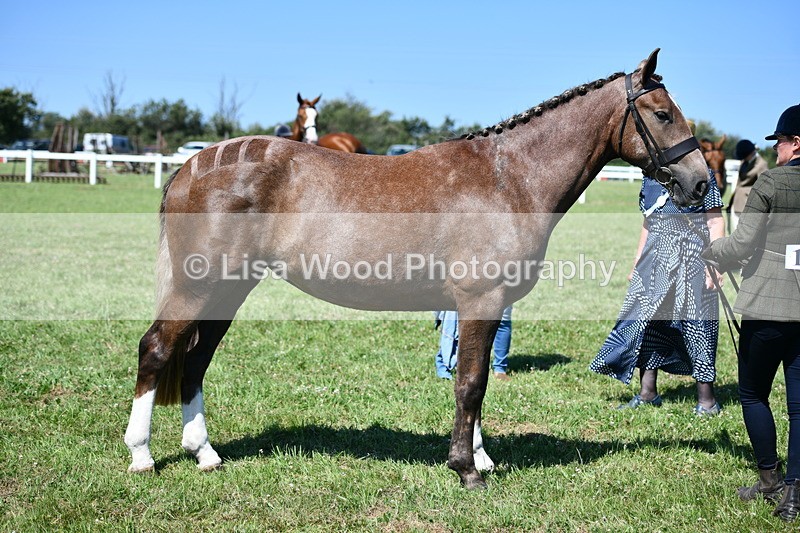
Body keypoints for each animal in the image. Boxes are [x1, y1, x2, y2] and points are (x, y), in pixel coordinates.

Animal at [124, 49, 709, 490]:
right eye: (662, 114)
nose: (701, 182)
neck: (509, 178)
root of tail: (191, 166)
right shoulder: (480, 300)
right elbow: (470, 382)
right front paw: (466, 469)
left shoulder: (481, 307)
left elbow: (472, 380)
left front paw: (480, 456)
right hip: (200, 285)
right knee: (157, 348)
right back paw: (142, 455)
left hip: (228, 289)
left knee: (195, 359)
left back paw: (205, 453)